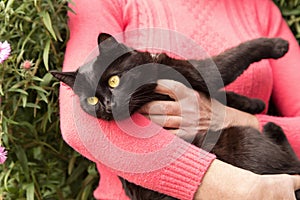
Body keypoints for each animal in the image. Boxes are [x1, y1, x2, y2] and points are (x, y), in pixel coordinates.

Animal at [51, 33, 300, 199]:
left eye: (114, 80)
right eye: (91, 100)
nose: (107, 106)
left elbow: (222, 96)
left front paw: (254, 103)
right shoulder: (200, 70)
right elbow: (235, 56)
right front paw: (277, 45)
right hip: (244, 137)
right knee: (290, 165)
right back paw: (273, 128)